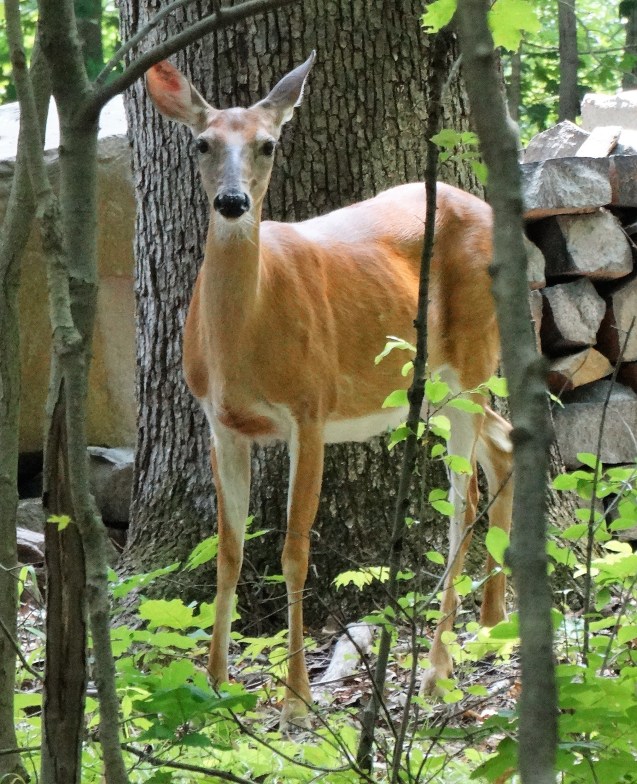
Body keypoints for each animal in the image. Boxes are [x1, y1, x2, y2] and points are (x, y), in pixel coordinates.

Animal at [145, 52, 514, 727]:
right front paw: (214, 687)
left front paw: (296, 701)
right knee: (502, 447)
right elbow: (229, 551)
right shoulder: (220, 422)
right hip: (434, 390)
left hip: (473, 358)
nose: (232, 202)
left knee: (464, 498)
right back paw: (492, 626)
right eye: (201, 143)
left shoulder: (310, 408)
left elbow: (294, 552)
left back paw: (438, 670)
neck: (244, 339)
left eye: (267, 144)